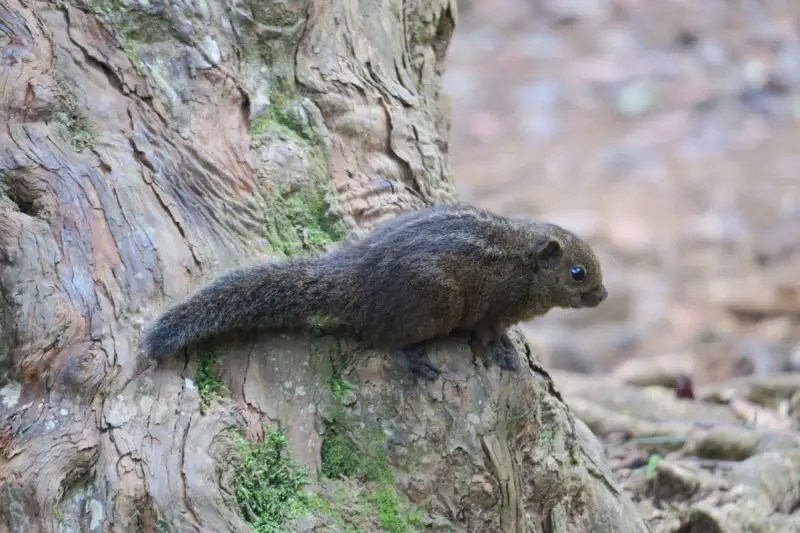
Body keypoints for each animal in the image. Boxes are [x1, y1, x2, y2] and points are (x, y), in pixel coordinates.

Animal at [142, 204, 607, 379]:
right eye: (578, 273)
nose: (603, 296)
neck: (522, 263)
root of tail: (357, 278)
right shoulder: (493, 309)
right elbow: (490, 335)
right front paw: (506, 355)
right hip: (437, 303)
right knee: (388, 339)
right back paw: (417, 362)